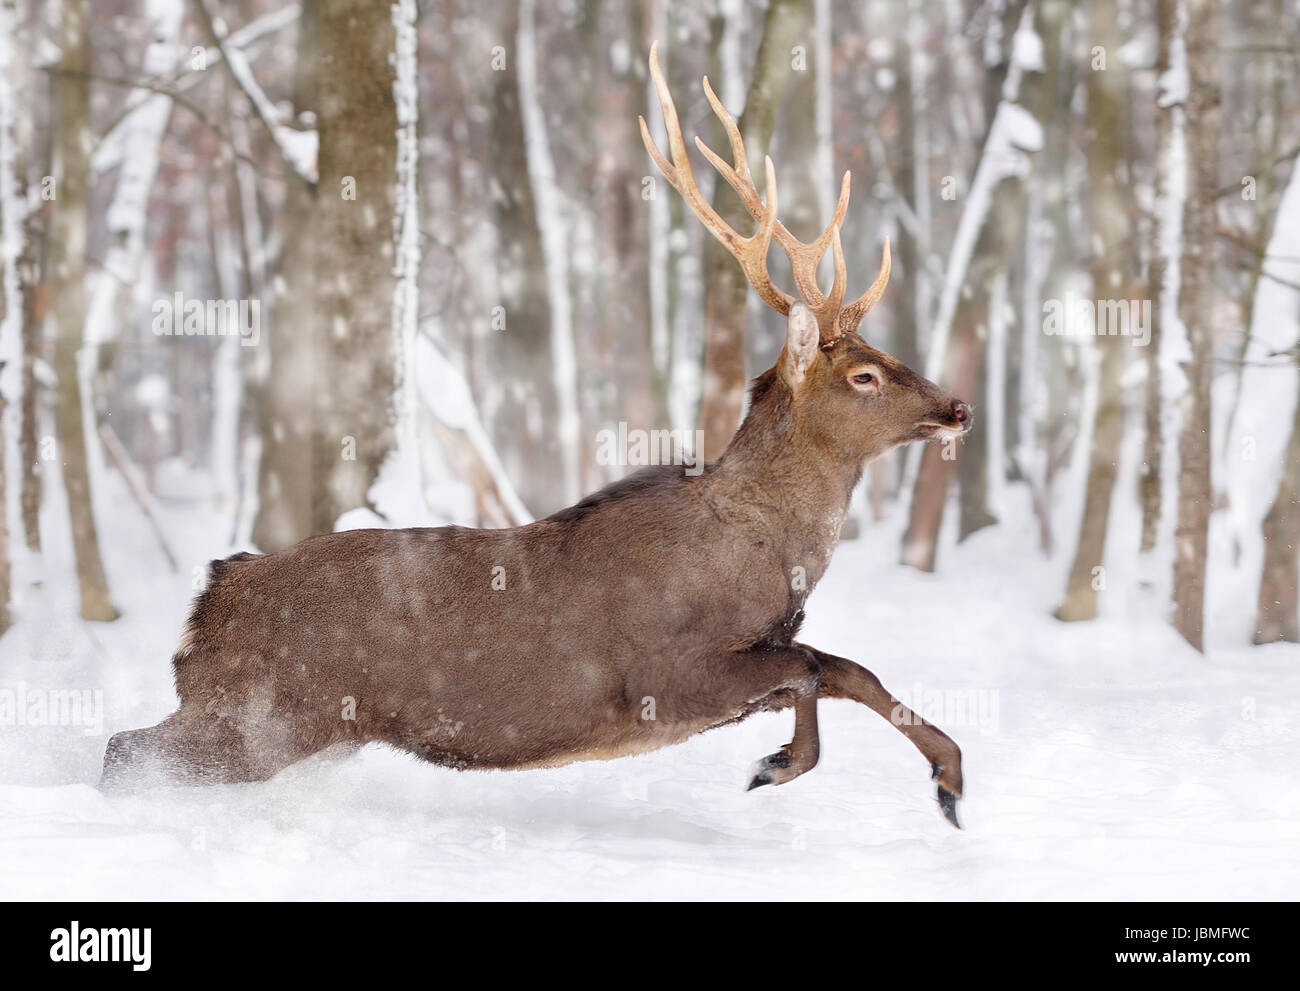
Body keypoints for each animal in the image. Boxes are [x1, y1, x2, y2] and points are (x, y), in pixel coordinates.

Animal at [101, 44, 973, 828]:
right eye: (864, 375)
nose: (959, 407)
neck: (766, 555)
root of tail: (213, 595)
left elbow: (844, 667)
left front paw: (951, 780)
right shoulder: (661, 674)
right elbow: (809, 668)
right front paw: (779, 763)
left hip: (300, 725)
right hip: (258, 715)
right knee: (122, 749)